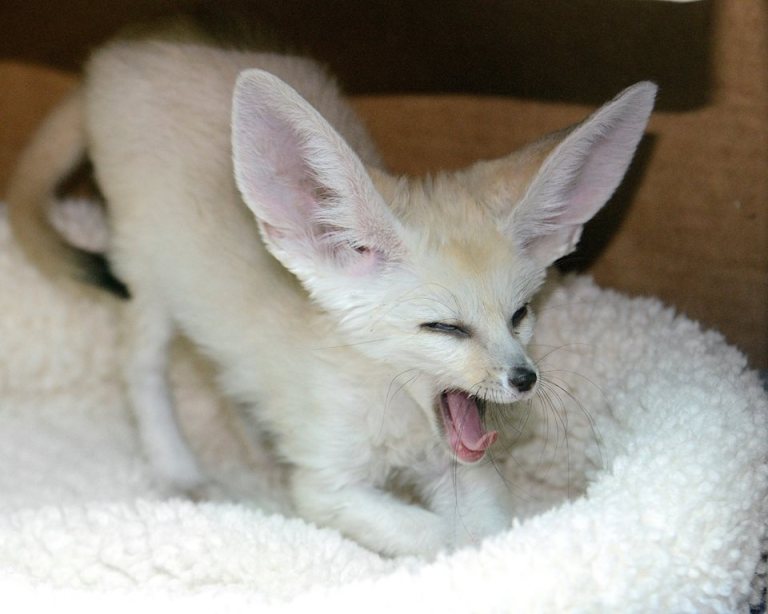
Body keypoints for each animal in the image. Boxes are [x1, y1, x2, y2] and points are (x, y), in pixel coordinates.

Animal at [4, 36, 656, 560]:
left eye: (519, 316)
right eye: (444, 328)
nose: (525, 379)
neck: (394, 411)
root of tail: (120, 56)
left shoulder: (457, 465)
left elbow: (488, 525)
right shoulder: (326, 486)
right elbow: (443, 537)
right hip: (149, 281)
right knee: (139, 369)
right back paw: (177, 468)